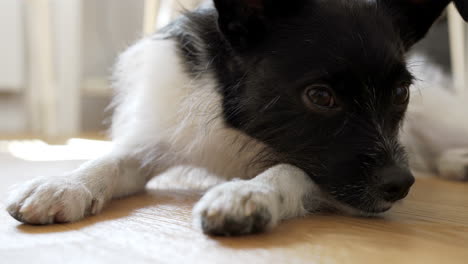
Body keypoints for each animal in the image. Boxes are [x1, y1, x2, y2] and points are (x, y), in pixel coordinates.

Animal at [6, 0, 468, 235]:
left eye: (401, 92)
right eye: (320, 96)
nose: (399, 185)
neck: (243, 127)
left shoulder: (341, 185)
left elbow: (290, 169)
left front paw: (249, 193)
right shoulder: (159, 136)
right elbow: (112, 160)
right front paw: (63, 184)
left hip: (441, 119)